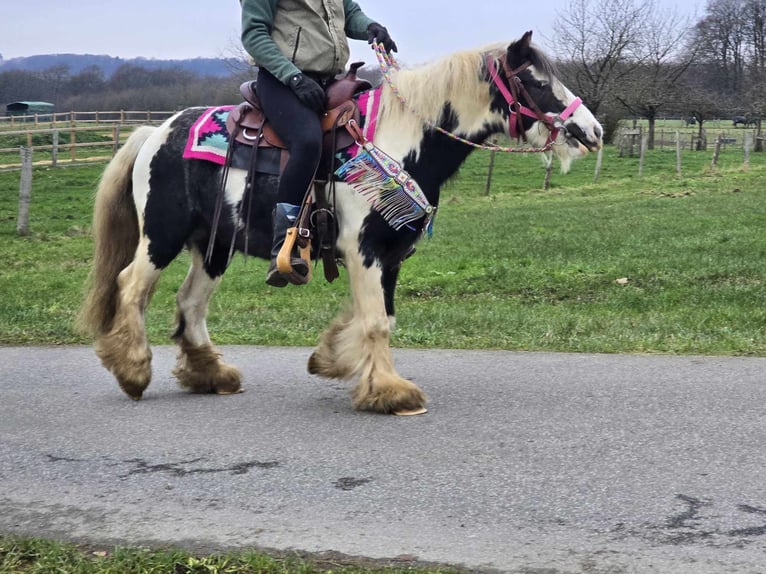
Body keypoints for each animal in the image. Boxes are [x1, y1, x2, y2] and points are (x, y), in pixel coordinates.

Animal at [78, 30, 608, 414]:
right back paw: (133, 371)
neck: (398, 141)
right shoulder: (365, 250)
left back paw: (211, 375)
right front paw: (391, 392)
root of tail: (156, 131)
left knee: (189, 303)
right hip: (161, 237)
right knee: (131, 287)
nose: (592, 130)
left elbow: (382, 318)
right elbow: (375, 322)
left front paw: (334, 359)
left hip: (214, 246)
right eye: (537, 82)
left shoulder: (392, 254)